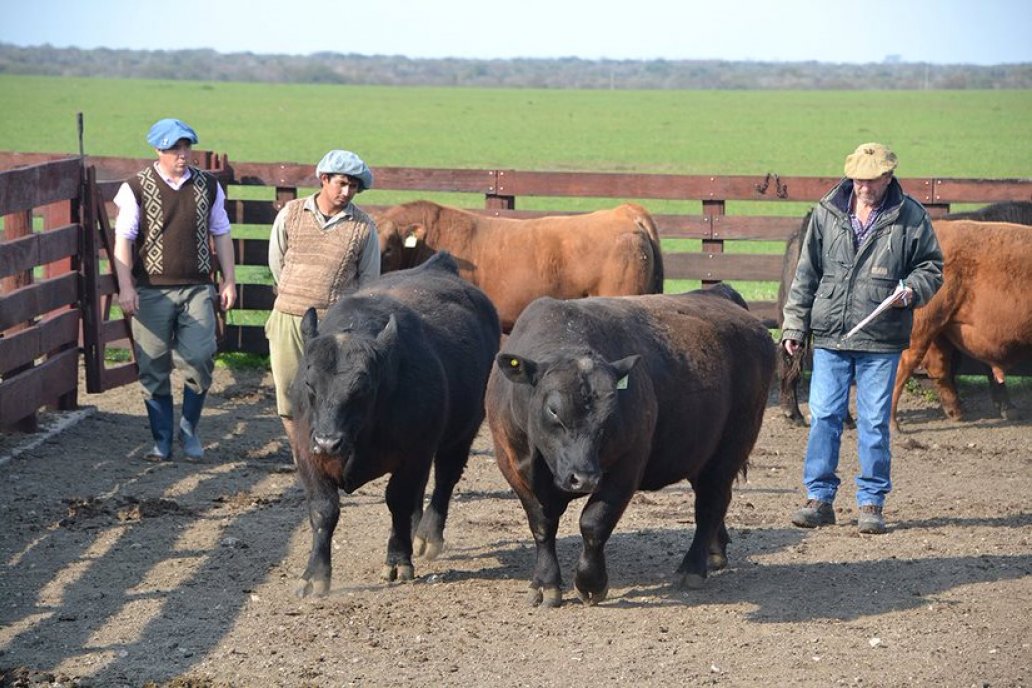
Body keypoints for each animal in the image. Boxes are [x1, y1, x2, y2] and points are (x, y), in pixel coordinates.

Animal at [291, 252, 499, 598]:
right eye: (309, 384)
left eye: (362, 388)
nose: (328, 442)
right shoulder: (305, 452)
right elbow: (323, 510)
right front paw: (314, 574)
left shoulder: (413, 453)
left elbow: (398, 500)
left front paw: (398, 560)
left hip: (461, 433)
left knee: (444, 479)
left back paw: (427, 535)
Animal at [485, 286, 776, 606]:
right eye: (554, 410)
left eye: (611, 412)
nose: (584, 478)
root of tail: (717, 294)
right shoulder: (512, 464)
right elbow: (542, 523)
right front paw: (545, 582)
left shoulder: (627, 464)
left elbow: (594, 523)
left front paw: (591, 582)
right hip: (701, 451)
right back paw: (715, 552)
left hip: (731, 446)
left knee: (710, 503)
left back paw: (693, 567)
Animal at [887, 220, 1032, 427]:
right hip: (921, 328)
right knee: (904, 364)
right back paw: (892, 424)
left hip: (940, 331)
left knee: (938, 366)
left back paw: (956, 412)